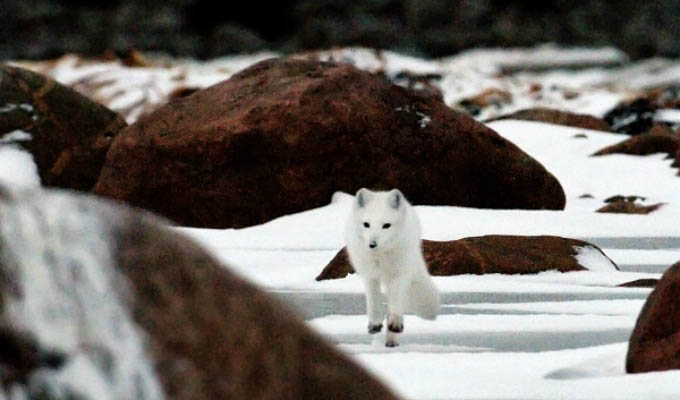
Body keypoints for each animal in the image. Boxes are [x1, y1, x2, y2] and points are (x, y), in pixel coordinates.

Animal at [346, 188, 440, 346]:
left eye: (386, 225)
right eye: (366, 224)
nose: (372, 244)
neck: (381, 257)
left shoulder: (399, 275)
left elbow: (395, 304)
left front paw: (395, 324)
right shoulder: (370, 275)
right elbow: (373, 300)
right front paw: (375, 323)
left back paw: (392, 338)